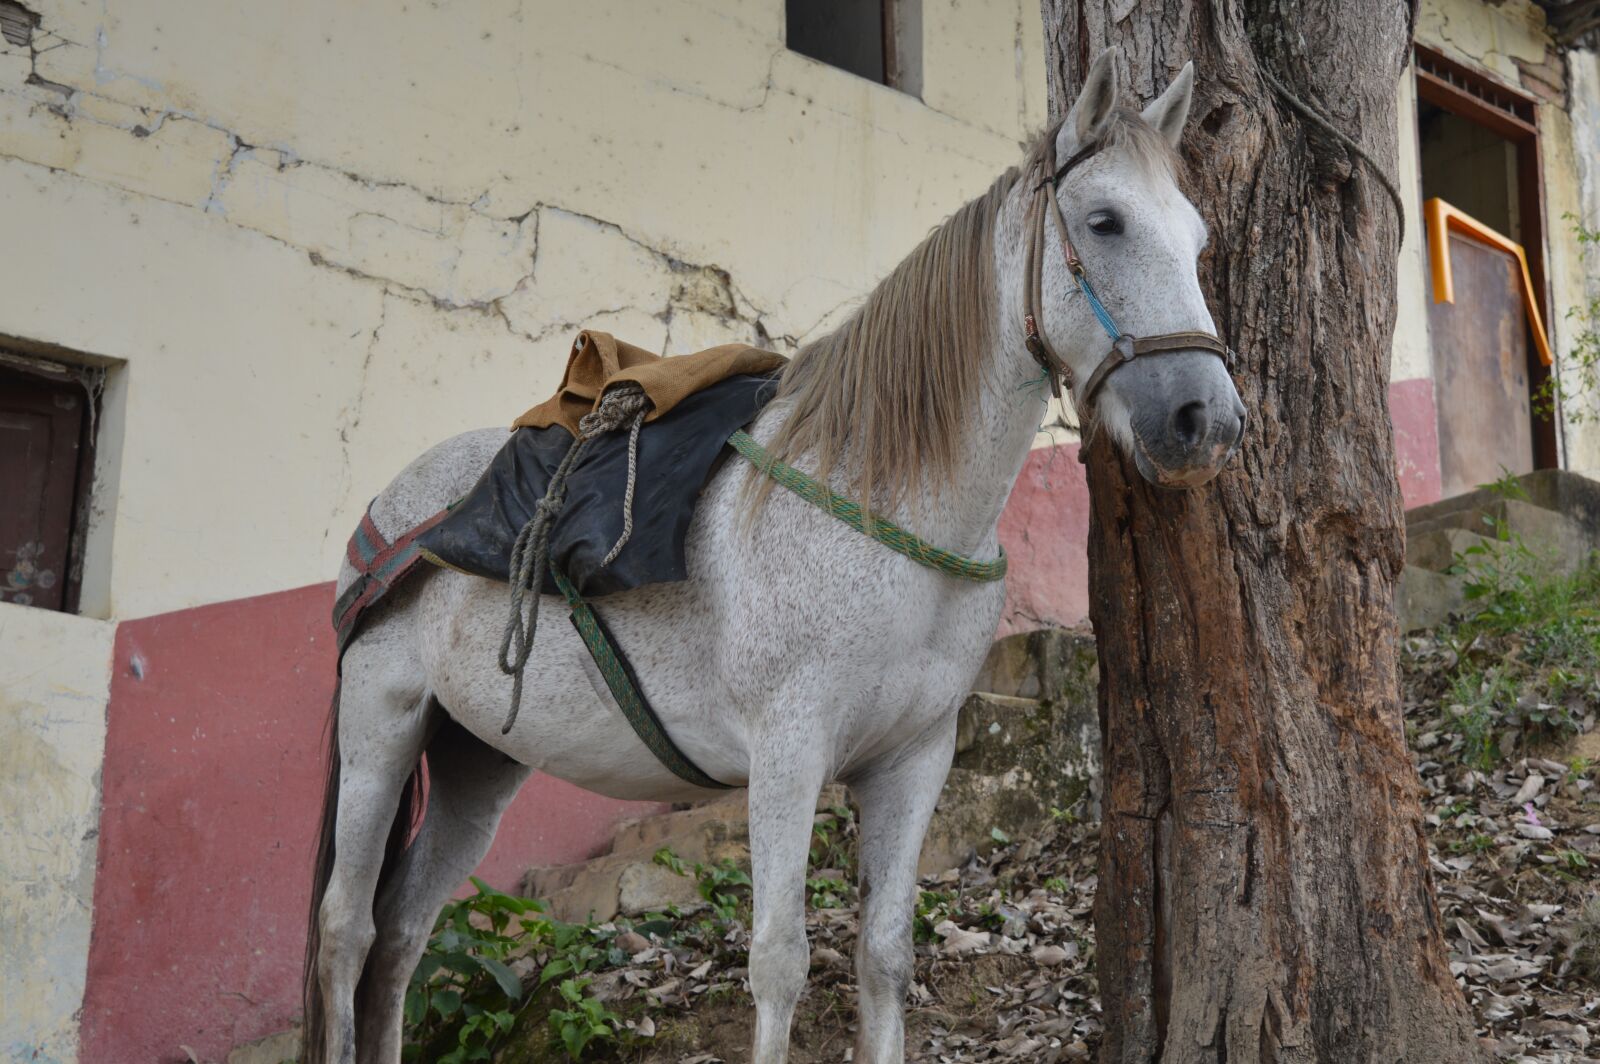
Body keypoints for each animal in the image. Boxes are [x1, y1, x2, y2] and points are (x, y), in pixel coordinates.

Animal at [304, 49, 1244, 1064]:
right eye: (1105, 221)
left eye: (1197, 240)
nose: (1206, 420)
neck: (881, 507)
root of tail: (388, 518)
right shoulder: (788, 755)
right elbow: (781, 963)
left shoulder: (915, 759)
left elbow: (884, 957)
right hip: (383, 725)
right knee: (347, 930)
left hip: (479, 759)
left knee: (403, 934)